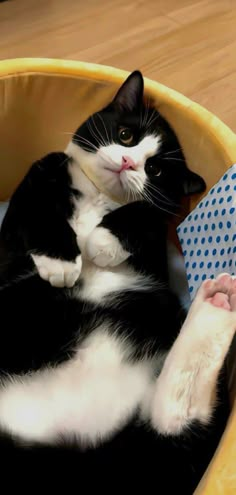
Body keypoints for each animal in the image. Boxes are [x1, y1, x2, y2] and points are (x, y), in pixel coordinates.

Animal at [0, 70, 234, 495]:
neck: (99, 196)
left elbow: (147, 210)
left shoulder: (157, 236)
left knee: (175, 427)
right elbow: (39, 206)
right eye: (126, 135)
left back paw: (218, 300)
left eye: (155, 170)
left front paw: (101, 242)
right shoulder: (38, 178)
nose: (128, 163)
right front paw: (62, 262)